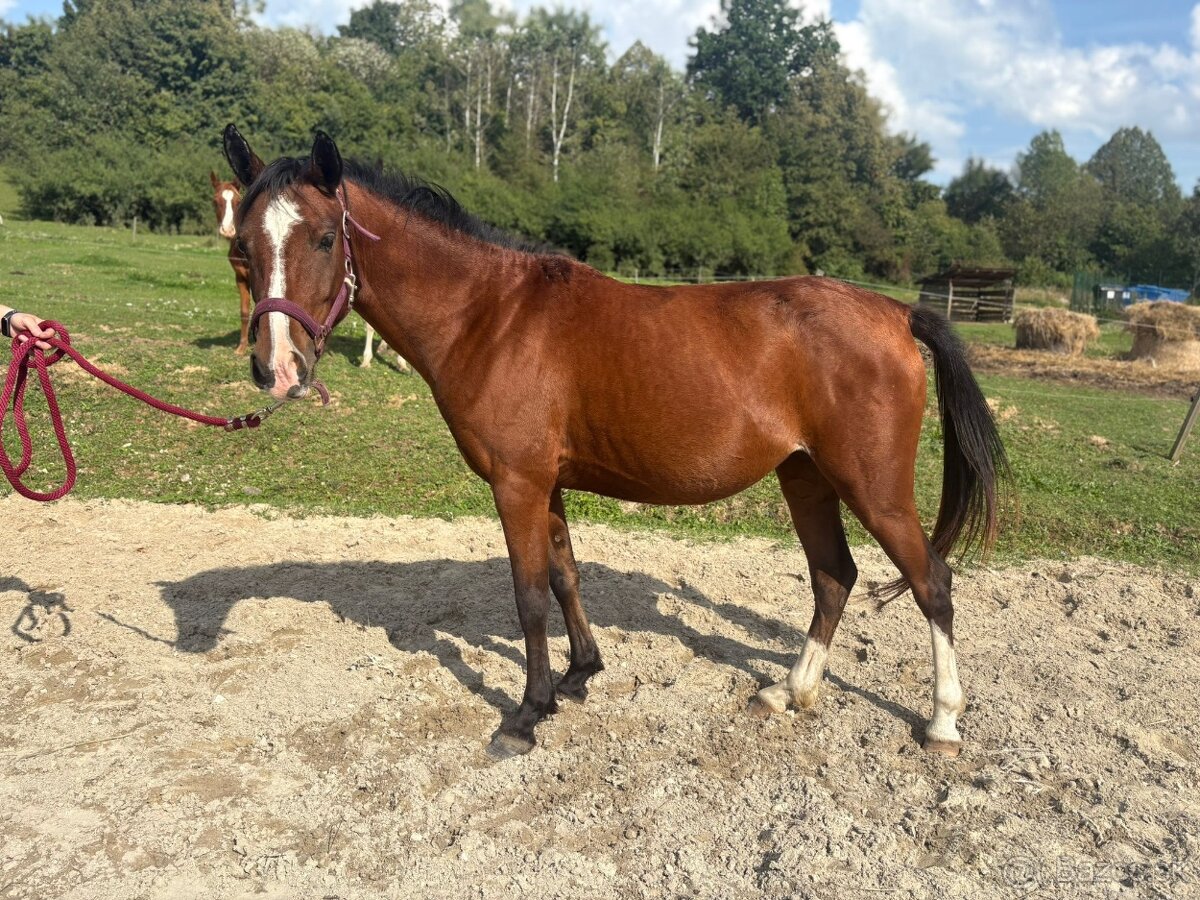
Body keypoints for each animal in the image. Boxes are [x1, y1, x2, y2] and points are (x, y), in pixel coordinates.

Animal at [221, 125, 1007, 761]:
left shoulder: (518, 485)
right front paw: (578, 676)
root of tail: (897, 313)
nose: (277, 368)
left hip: (872, 487)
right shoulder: (547, 485)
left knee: (933, 584)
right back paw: (788, 691)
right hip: (806, 477)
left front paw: (525, 715)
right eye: (245, 247)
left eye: (325, 238)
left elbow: (529, 595)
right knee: (833, 578)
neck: (490, 316)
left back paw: (942, 722)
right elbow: (566, 576)